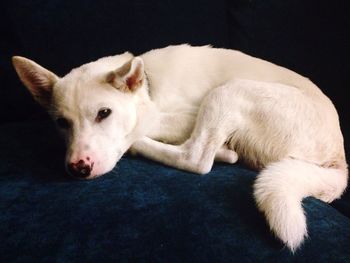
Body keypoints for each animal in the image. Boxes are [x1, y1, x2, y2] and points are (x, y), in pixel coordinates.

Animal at [11, 44, 348, 253]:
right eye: (61, 123)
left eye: (104, 113)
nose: (78, 167)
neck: (148, 86)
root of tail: (339, 161)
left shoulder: (181, 117)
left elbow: (144, 128)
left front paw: (133, 139)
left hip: (228, 91)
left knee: (195, 159)